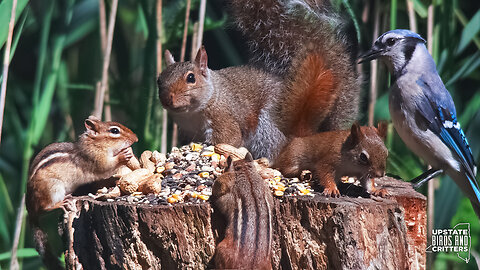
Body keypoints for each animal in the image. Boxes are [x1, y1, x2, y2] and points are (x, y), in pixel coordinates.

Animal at [27, 115, 137, 268]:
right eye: (114, 131)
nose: (136, 139)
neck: (94, 143)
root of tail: (30, 211)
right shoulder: (96, 159)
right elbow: (106, 167)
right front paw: (124, 155)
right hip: (53, 188)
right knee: (45, 208)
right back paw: (61, 203)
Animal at [158, 0, 360, 160]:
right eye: (159, 79)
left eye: (191, 78)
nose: (167, 99)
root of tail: (304, 133)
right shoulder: (187, 130)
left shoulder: (223, 117)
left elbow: (229, 139)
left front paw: (204, 149)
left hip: (266, 127)